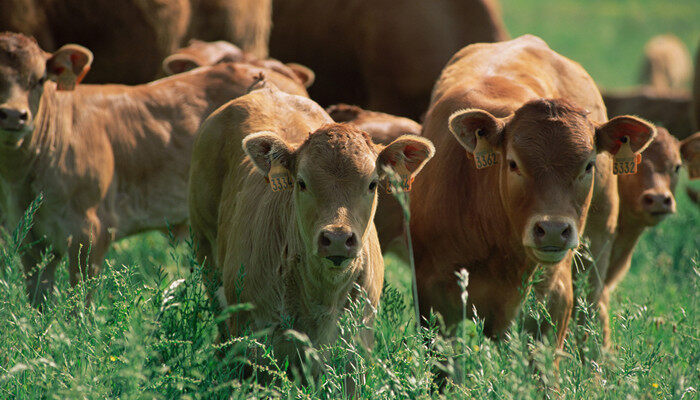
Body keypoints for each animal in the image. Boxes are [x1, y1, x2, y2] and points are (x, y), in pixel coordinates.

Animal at [0, 32, 308, 306]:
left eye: (39, 80)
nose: (14, 115)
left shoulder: (90, 232)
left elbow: (80, 305)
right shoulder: (29, 237)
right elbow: (39, 302)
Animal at [410, 35, 656, 350]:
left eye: (588, 165)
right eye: (513, 163)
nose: (552, 230)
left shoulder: (554, 302)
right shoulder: (435, 300)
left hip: (596, 249)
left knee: (592, 315)